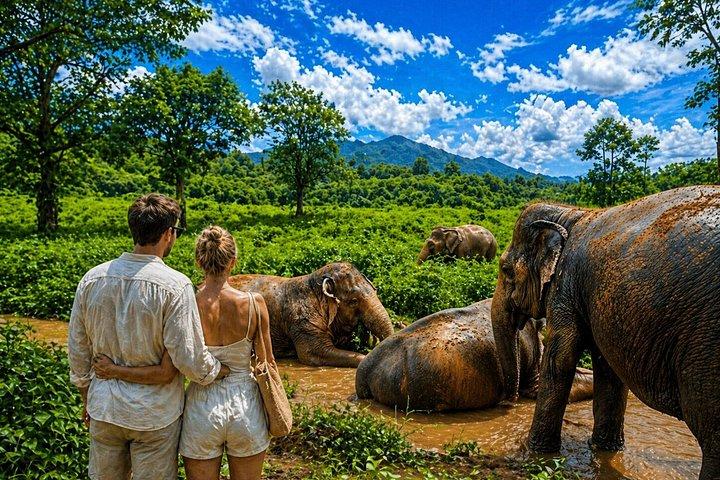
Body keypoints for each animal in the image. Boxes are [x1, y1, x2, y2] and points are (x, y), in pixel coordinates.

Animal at [491, 186, 720, 478]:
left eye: (506, 270)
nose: (509, 402)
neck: (570, 214)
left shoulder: (566, 287)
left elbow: (559, 360)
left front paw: (533, 452)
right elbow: (608, 370)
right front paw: (604, 450)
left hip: (708, 345)